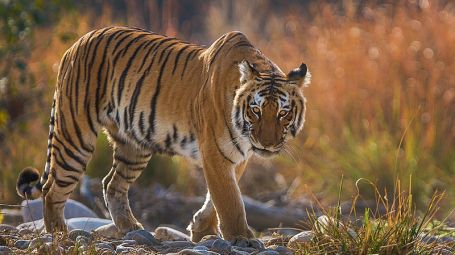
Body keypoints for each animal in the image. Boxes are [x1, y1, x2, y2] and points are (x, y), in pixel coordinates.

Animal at [16, 26, 312, 244]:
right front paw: (241, 238)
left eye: (283, 113)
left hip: (133, 146)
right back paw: (59, 235)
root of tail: (75, 43)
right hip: (75, 136)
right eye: (256, 110)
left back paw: (131, 228)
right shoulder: (215, 153)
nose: (267, 144)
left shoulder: (236, 157)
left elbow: (217, 197)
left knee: (112, 183)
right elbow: (229, 199)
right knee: (52, 188)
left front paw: (201, 230)